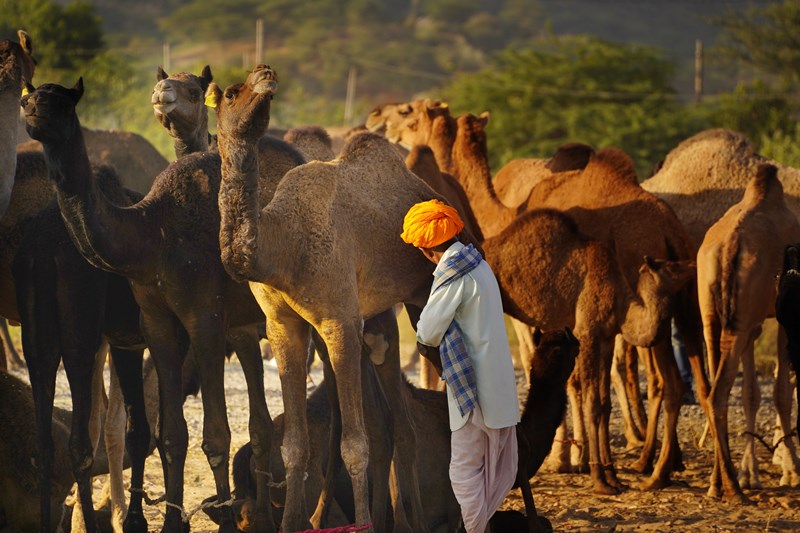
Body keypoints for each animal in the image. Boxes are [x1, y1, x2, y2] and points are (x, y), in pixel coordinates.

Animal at [208, 64, 466, 533]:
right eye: (233, 93)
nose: (266, 74)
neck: (284, 247)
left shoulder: (339, 322)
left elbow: (354, 445)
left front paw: (360, 524)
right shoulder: (283, 325)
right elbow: (294, 443)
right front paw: (293, 523)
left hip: (428, 289)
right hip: (384, 316)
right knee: (402, 420)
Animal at [697, 163, 800, 502]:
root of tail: (730, 242)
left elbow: (752, 393)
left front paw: (752, 472)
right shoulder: (783, 317)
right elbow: (781, 391)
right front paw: (792, 471)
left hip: (714, 313)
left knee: (712, 389)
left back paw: (717, 483)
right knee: (719, 392)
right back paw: (731, 486)